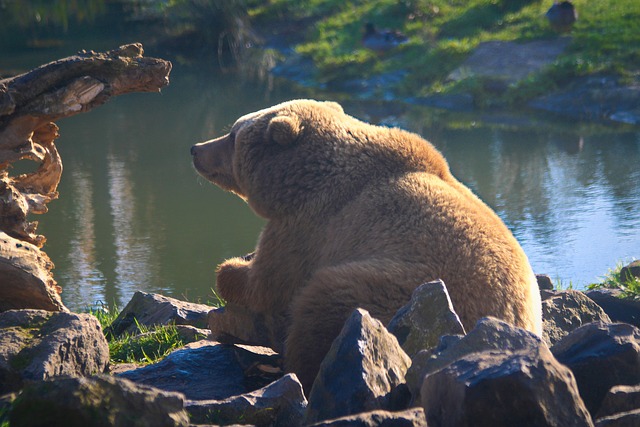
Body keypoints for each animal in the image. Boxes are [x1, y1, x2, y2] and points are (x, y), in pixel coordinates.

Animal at [190, 99, 540, 392]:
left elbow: (267, 283)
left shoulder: (311, 225)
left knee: (323, 303)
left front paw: (232, 268)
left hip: (402, 292)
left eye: (232, 134)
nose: (196, 148)